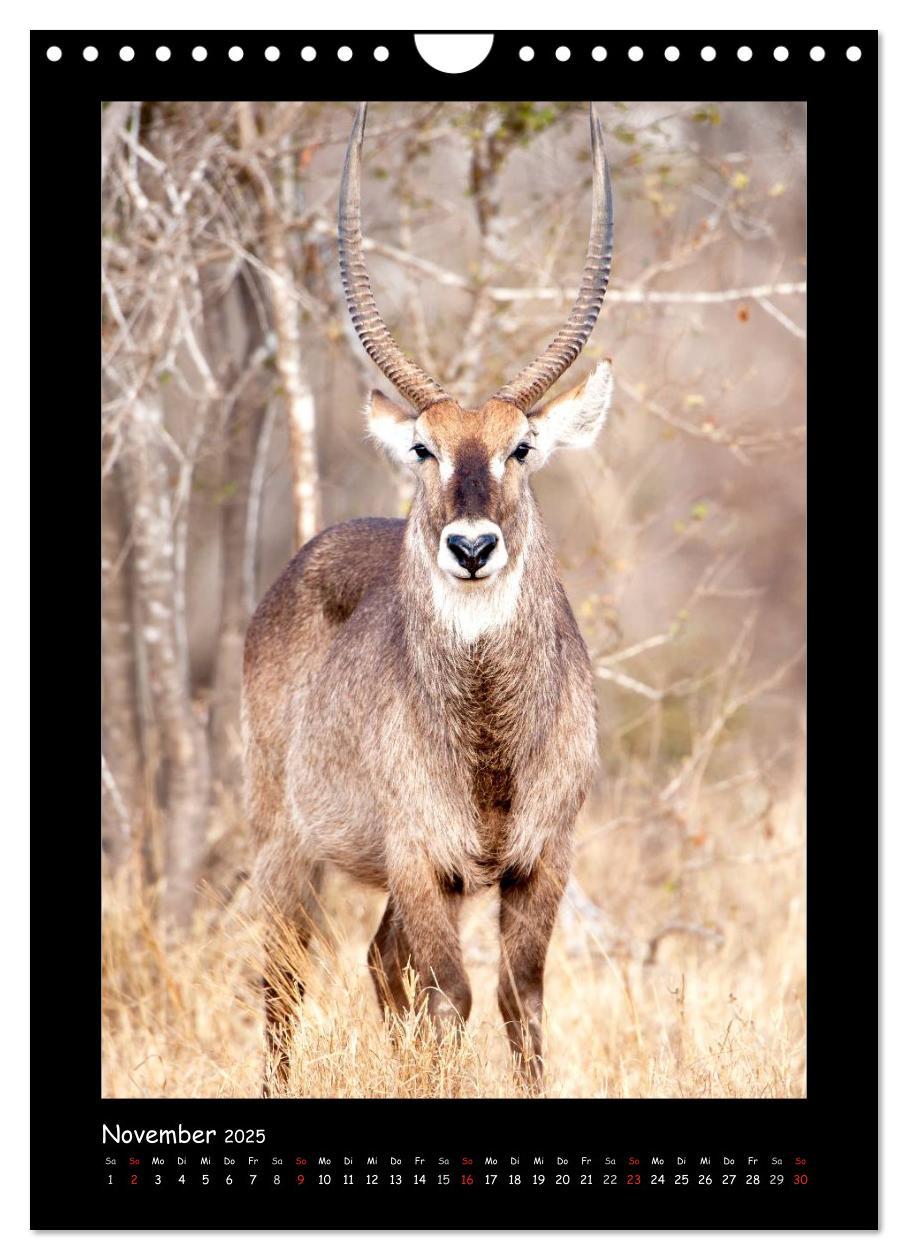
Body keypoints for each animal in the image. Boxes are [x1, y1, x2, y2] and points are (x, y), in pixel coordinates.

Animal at [245, 100, 617, 1093]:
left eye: (522, 446)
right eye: (425, 447)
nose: (473, 546)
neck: (490, 746)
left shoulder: (541, 862)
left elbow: (520, 1003)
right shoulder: (423, 863)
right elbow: (452, 1000)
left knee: (380, 962)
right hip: (285, 842)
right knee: (284, 975)